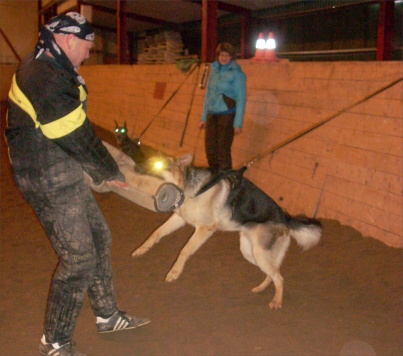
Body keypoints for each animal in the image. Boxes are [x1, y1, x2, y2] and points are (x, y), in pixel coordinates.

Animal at [133, 154, 322, 308]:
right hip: (250, 253)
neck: (188, 188)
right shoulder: (179, 219)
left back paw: (277, 301)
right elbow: (155, 233)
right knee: (273, 274)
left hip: (259, 254)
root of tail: (285, 218)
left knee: (280, 278)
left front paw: (175, 271)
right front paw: (141, 249)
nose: (135, 167)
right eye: (149, 161)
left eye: (157, 165)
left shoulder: (204, 229)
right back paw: (260, 289)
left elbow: (184, 250)